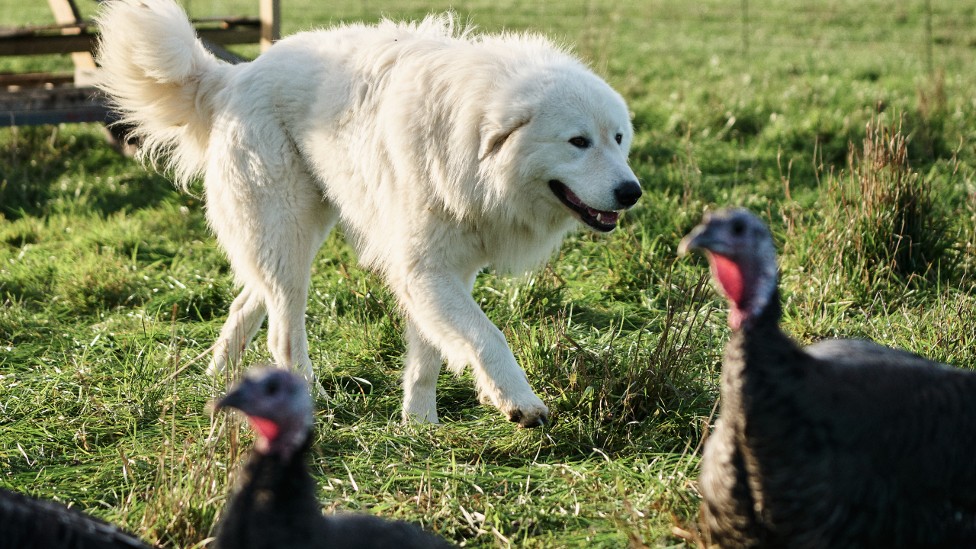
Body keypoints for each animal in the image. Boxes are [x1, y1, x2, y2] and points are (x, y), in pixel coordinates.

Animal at [93, 0, 640, 426]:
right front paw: (518, 401)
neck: (468, 149)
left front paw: (420, 424)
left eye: (618, 138)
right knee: (282, 335)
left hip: (287, 237)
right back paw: (302, 398)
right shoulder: (424, 270)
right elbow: (487, 336)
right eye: (578, 142)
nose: (632, 192)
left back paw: (219, 380)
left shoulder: (442, 273)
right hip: (289, 237)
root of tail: (234, 75)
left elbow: (430, 354)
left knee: (247, 301)